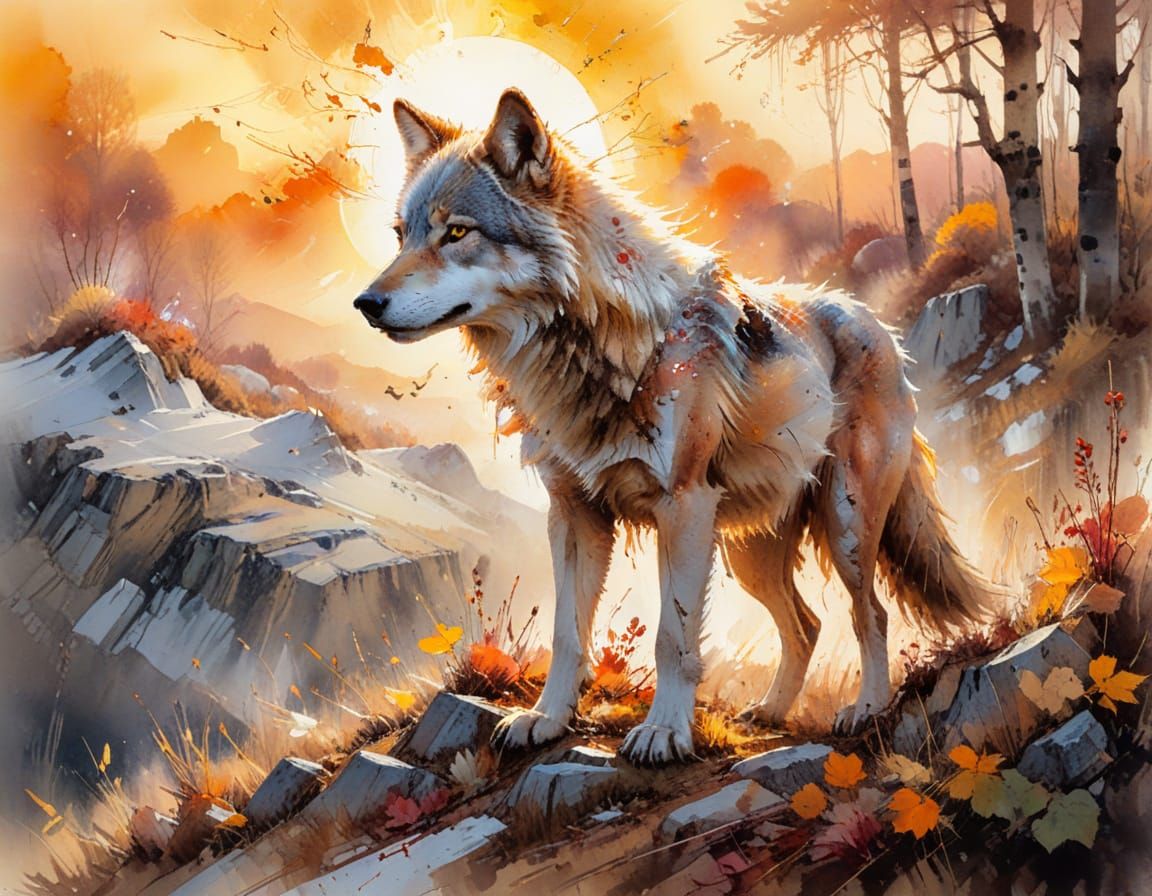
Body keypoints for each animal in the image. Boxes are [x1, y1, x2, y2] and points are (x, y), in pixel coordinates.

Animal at [354, 89, 1000, 765]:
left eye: (456, 232)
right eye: (401, 235)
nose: (366, 303)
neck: (599, 350)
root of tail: (876, 323)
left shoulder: (682, 506)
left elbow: (673, 635)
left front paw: (664, 731)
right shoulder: (575, 515)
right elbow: (567, 632)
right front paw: (547, 719)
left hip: (844, 526)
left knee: (868, 614)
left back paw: (866, 709)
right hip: (747, 549)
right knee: (807, 625)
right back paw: (770, 711)